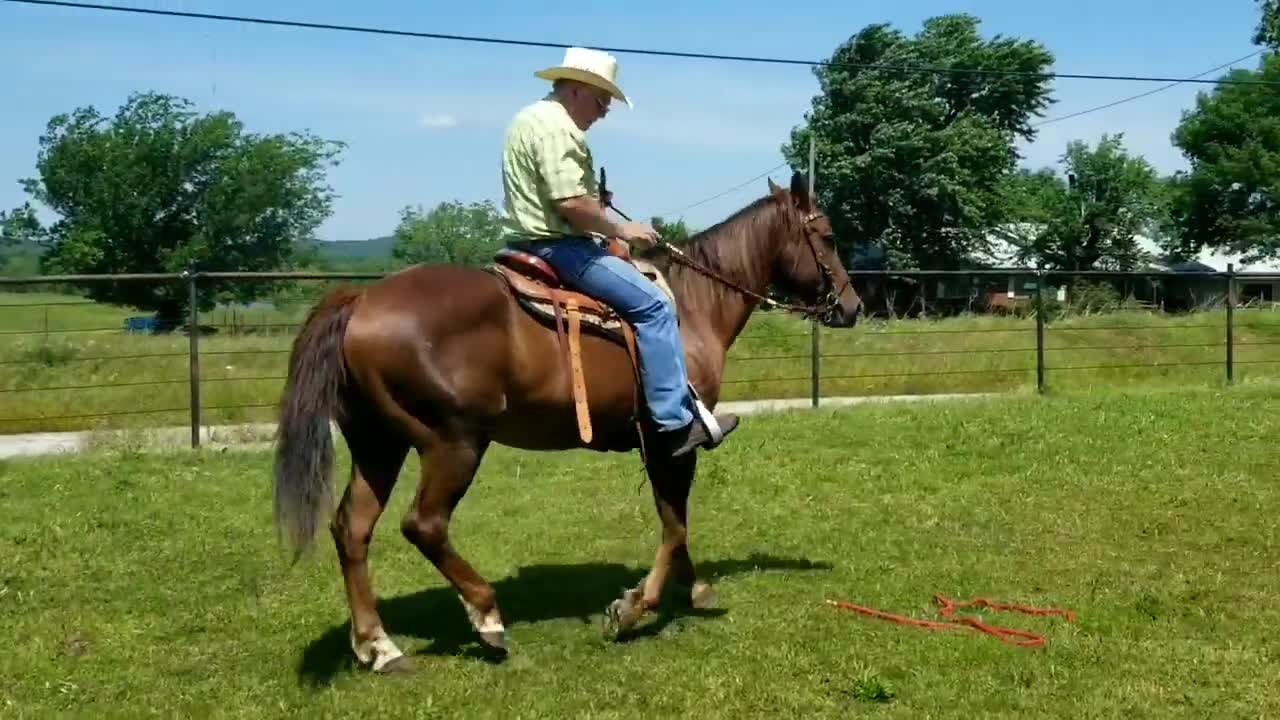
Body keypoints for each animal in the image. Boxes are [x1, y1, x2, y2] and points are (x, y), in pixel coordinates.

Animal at [275, 169, 865, 671]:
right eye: (828, 236)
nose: (853, 306)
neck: (693, 308)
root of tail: (361, 300)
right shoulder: (673, 438)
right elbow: (675, 522)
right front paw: (633, 608)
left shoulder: (658, 445)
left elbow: (674, 519)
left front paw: (692, 588)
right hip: (454, 442)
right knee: (424, 524)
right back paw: (486, 617)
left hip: (379, 445)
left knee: (352, 529)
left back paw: (378, 646)